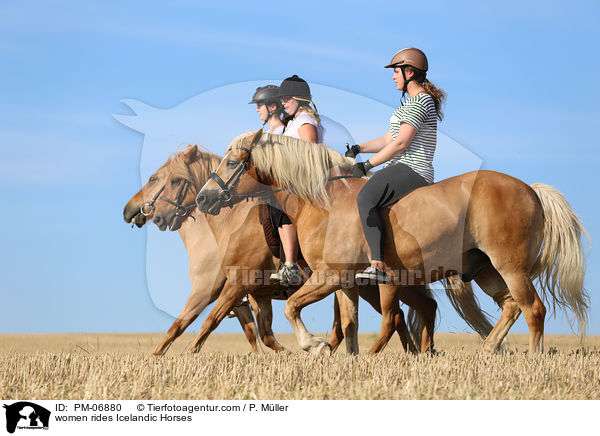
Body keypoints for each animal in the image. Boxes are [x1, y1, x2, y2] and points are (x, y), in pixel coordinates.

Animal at [154, 146, 492, 354]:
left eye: (172, 181)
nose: (153, 214)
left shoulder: (231, 285)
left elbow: (202, 322)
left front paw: (182, 355)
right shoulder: (253, 294)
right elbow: (259, 331)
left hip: (381, 286)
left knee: (394, 317)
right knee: (421, 309)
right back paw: (419, 353)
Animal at [195, 130, 588, 354]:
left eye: (232, 161)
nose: (202, 198)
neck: (323, 200)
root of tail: (530, 190)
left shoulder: (329, 276)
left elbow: (293, 307)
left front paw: (314, 345)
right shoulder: (345, 282)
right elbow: (349, 324)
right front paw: (348, 361)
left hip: (510, 266)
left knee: (533, 309)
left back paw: (533, 361)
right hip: (484, 269)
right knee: (509, 306)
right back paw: (488, 350)